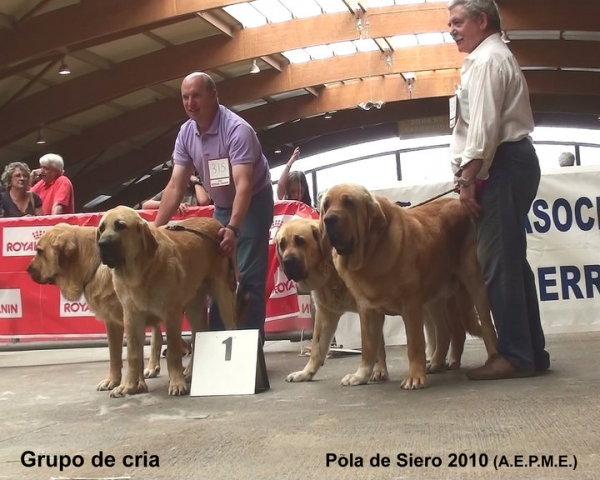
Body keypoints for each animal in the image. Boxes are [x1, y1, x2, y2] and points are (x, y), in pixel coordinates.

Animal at [27, 223, 207, 392]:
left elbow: (133, 353)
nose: (27, 269)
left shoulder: (132, 317)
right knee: (158, 335)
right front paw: (113, 381)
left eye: (40, 251)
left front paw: (136, 384)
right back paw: (154, 366)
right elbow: (115, 354)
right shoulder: (113, 322)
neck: (93, 263)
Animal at [96, 206, 241, 398]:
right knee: (198, 334)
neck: (140, 273)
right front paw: (128, 385)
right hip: (194, 305)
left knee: (231, 327)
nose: (101, 244)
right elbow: (133, 354)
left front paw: (176, 383)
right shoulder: (131, 315)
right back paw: (191, 372)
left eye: (120, 226)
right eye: (101, 228)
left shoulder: (171, 314)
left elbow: (172, 351)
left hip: (223, 294)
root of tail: (217, 224)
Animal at [276, 218, 390, 386]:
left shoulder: (368, 309)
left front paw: (368, 373)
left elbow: (370, 344)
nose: (287, 261)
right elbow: (317, 349)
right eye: (282, 245)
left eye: (300, 241)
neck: (329, 271)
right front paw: (305, 373)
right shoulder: (326, 314)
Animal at [324, 184, 496, 390]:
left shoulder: (411, 306)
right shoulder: (367, 309)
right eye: (325, 205)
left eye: (348, 202)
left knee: (486, 323)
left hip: (473, 282)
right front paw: (361, 376)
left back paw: (493, 359)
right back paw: (436, 363)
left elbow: (414, 344)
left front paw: (415, 377)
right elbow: (369, 347)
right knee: (445, 331)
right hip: (435, 298)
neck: (371, 253)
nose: (328, 219)